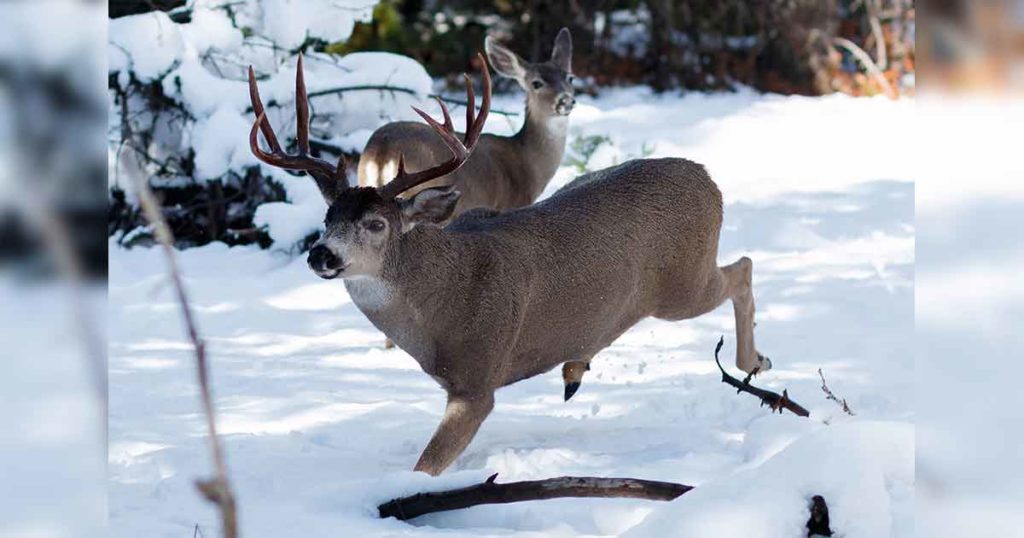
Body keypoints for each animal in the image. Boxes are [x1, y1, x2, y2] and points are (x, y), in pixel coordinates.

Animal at [246, 55, 772, 477]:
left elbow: (424, 469)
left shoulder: (480, 378)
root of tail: (708, 179)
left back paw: (754, 362)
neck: (440, 307)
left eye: (376, 224)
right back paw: (576, 369)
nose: (322, 254)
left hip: (682, 282)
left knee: (743, 267)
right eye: (327, 219)